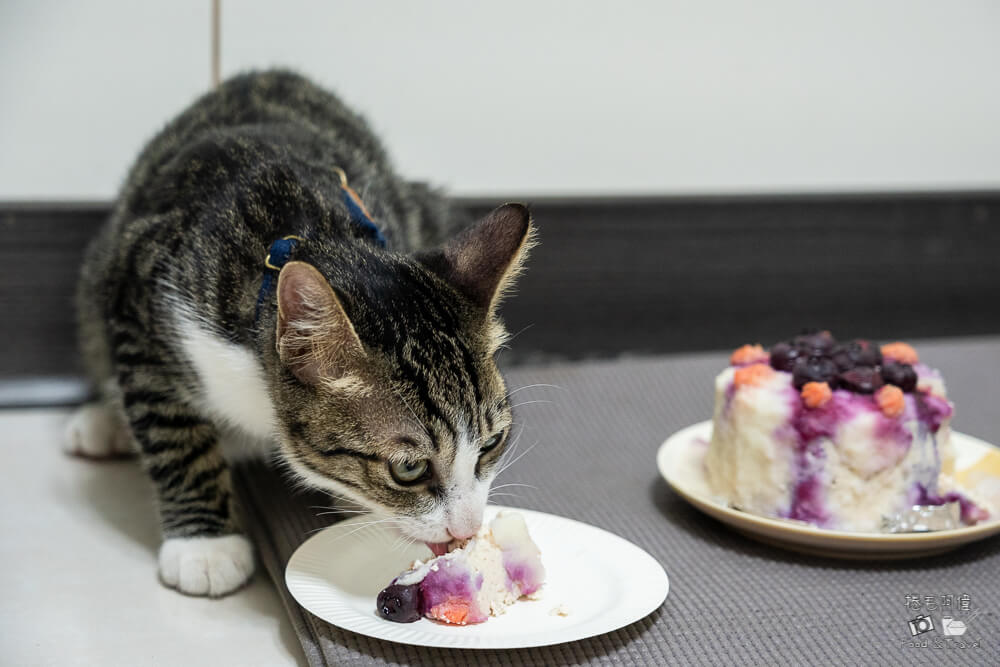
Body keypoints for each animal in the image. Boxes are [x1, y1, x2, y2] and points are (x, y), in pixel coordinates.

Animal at [66, 70, 536, 596]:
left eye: (492, 443)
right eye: (408, 469)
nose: (467, 528)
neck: (313, 233)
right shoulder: (140, 303)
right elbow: (173, 433)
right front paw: (204, 547)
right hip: (98, 275)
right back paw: (104, 421)